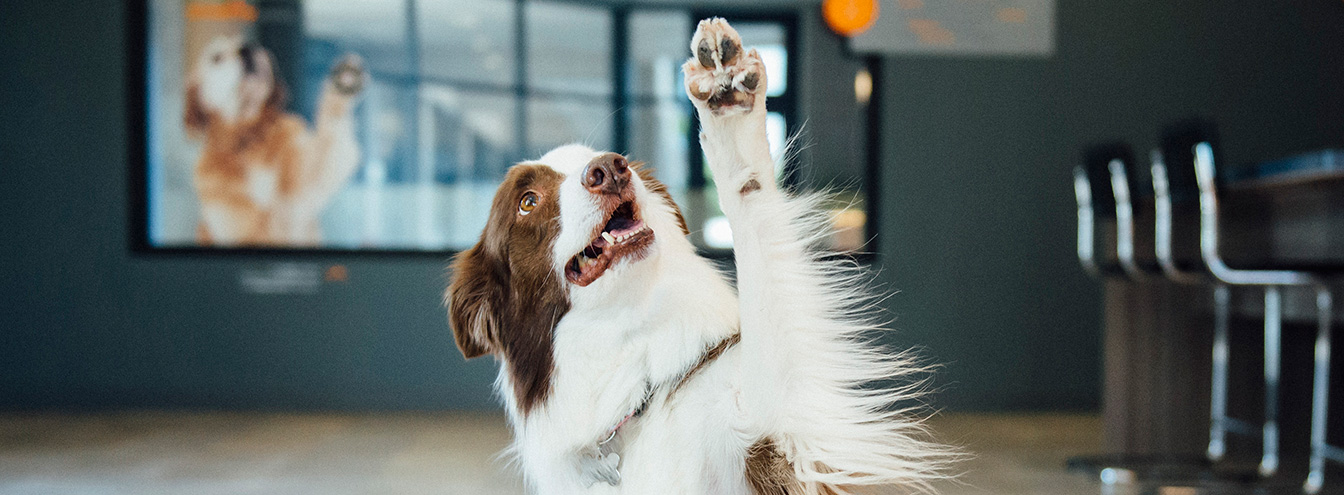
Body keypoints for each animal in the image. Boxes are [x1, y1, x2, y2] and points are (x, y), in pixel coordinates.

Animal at [184, 36, 365, 246]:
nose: (248, 49)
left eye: (252, 44)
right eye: (216, 57)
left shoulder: (301, 193)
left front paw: (345, 79)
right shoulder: (237, 224)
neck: (246, 140)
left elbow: (330, 129)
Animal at [446, 17, 951, 492]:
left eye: (601, 157)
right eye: (527, 201)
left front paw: (728, 106)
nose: (610, 169)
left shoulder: (800, 444)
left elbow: (759, 247)